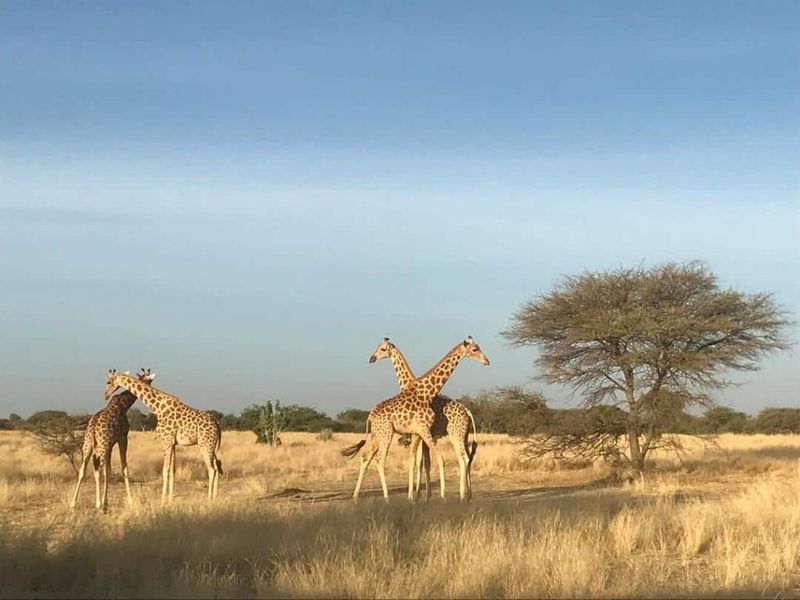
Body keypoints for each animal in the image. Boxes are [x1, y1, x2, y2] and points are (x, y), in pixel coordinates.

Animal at [70, 368, 156, 508]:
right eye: (150, 381)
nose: (150, 390)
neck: (123, 406)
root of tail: (93, 429)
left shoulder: (110, 444)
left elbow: (108, 471)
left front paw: (106, 500)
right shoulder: (122, 438)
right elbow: (124, 469)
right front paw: (130, 501)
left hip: (88, 446)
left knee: (83, 470)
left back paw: (73, 502)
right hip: (101, 446)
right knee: (98, 469)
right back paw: (98, 503)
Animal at [102, 370, 225, 502]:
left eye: (108, 382)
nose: (106, 395)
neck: (157, 407)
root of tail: (217, 424)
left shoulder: (166, 441)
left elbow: (165, 470)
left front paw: (162, 499)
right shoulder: (173, 443)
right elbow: (172, 470)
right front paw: (170, 498)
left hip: (205, 444)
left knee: (212, 469)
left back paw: (209, 498)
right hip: (213, 446)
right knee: (216, 467)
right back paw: (215, 496)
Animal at [340, 338, 488, 502]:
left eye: (383, 349)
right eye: (475, 349)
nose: (486, 361)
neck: (424, 391)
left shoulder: (420, 433)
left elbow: (420, 462)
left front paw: (419, 496)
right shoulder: (420, 432)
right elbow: (424, 462)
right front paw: (422, 496)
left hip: (456, 434)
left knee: (465, 459)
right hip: (388, 434)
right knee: (376, 460)